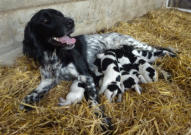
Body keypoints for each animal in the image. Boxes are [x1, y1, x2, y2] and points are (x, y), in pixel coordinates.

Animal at [20, 8, 176, 133]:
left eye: (60, 14)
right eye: (45, 19)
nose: (70, 22)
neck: (54, 55)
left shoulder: (86, 76)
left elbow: (94, 102)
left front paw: (102, 122)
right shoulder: (48, 80)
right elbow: (32, 95)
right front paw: (26, 103)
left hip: (139, 47)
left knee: (160, 50)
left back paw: (173, 56)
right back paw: (165, 73)